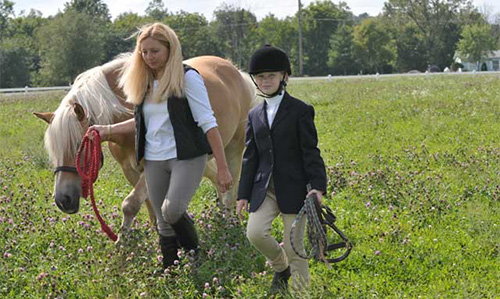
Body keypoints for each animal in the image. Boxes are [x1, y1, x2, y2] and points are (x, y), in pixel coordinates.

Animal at [34, 55, 258, 240]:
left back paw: (230, 223)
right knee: (218, 181)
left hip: (234, 147)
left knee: (231, 185)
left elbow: (130, 204)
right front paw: (156, 233)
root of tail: (235, 71)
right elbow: (150, 205)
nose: (63, 200)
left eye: (79, 146)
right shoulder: (130, 170)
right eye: (53, 151)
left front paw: (123, 241)